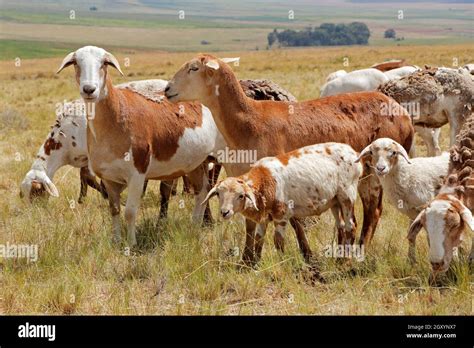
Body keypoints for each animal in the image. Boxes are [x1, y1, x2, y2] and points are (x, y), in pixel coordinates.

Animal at [202, 143, 362, 262]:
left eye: (241, 195)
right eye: (218, 194)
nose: (224, 212)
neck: (264, 180)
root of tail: (353, 152)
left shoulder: (281, 215)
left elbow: (278, 241)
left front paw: (281, 262)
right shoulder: (264, 217)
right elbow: (259, 240)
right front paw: (255, 265)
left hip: (347, 195)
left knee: (351, 226)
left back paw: (346, 260)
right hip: (334, 201)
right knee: (341, 226)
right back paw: (339, 258)